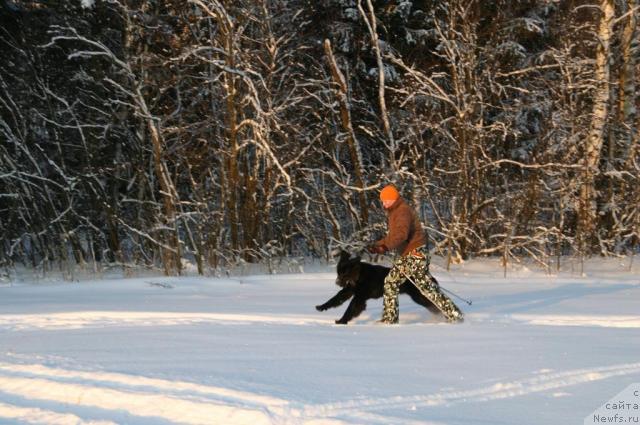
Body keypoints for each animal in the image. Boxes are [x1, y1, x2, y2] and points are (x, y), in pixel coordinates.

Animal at [316, 250, 444, 322]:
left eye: (345, 273)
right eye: (338, 272)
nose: (337, 282)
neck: (358, 276)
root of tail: (426, 275)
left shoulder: (359, 297)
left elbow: (350, 309)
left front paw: (341, 321)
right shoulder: (348, 291)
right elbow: (334, 299)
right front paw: (321, 307)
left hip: (419, 297)